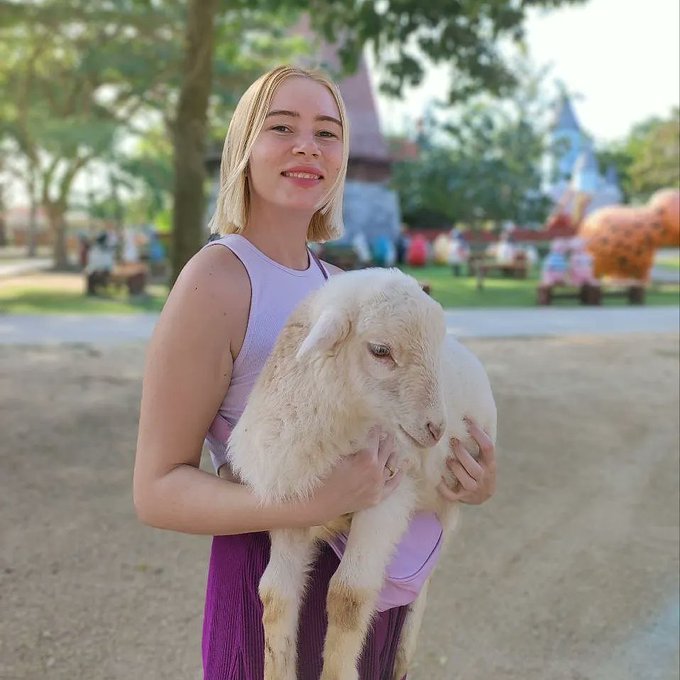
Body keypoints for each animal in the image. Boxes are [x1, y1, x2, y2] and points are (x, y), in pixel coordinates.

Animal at [228, 267, 497, 680]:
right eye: (381, 350)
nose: (436, 429)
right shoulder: (291, 505)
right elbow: (273, 594)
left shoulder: (390, 492)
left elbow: (348, 595)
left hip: (447, 498)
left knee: (428, 575)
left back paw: (403, 653)